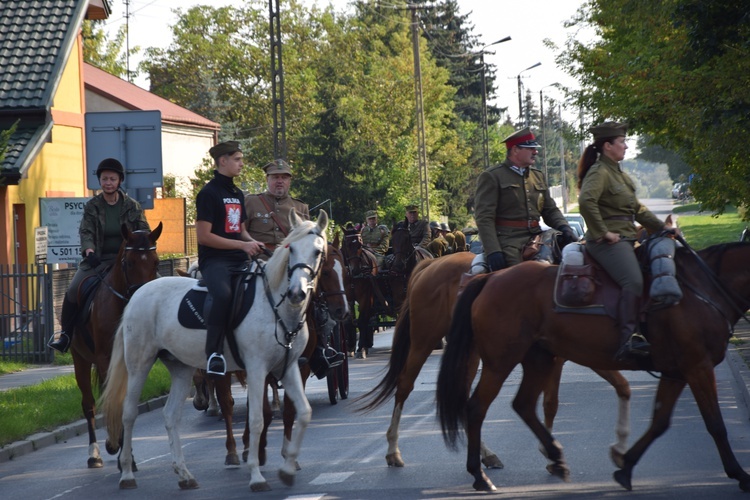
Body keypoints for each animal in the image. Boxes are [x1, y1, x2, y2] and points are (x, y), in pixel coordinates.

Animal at [71, 223, 162, 468]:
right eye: (129, 262)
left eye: (156, 262)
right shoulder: (104, 360)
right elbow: (113, 401)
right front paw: (119, 450)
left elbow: (124, 401)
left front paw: (126, 454)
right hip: (80, 360)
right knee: (89, 404)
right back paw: (95, 453)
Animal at [100, 211, 328, 492]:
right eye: (291, 248)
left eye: (317, 251)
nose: (296, 293)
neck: (275, 305)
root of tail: (138, 294)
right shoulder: (257, 369)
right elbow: (256, 419)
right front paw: (256, 475)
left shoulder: (289, 367)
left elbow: (303, 412)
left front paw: (287, 469)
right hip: (139, 364)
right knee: (129, 413)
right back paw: (127, 474)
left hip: (181, 368)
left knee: (170, 415)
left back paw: (184, 474)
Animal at [362, 254, 632, 468]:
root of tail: (430, 264)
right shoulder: (558, 359)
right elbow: (550, 403)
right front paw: (548, 450)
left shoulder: (586, 355)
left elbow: (618, 385)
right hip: (423, 342)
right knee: (405, 385)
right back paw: (393, 451)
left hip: (469, 354)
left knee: (464, 397)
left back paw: (486, 454)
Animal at [438, 241, 750, 492]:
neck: (704, 289)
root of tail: (491, 277)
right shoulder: (698, 367)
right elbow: (715, 424)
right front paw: (739, 474)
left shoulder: (676, 372)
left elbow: (660, 422)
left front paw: (625, 467)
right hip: (500, 362)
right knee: (476, 408)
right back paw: (480, 475)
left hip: (539, 359)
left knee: (524, 405)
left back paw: (556, 458)